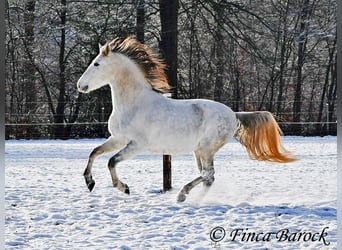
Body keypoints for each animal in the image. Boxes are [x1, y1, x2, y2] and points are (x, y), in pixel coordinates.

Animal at [76, 36, 296, 202]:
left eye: (96, 63)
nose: (80, 85)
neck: (134, 103)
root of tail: (234, 115)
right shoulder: (118, 139)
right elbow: (94, 153)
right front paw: (89, 182)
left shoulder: (137, 145)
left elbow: (111, 161)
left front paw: (123, 187)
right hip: (198, 151)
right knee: (208, 176)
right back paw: (186, 196)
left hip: (207, 149)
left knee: (209, 176)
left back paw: (185, 197)